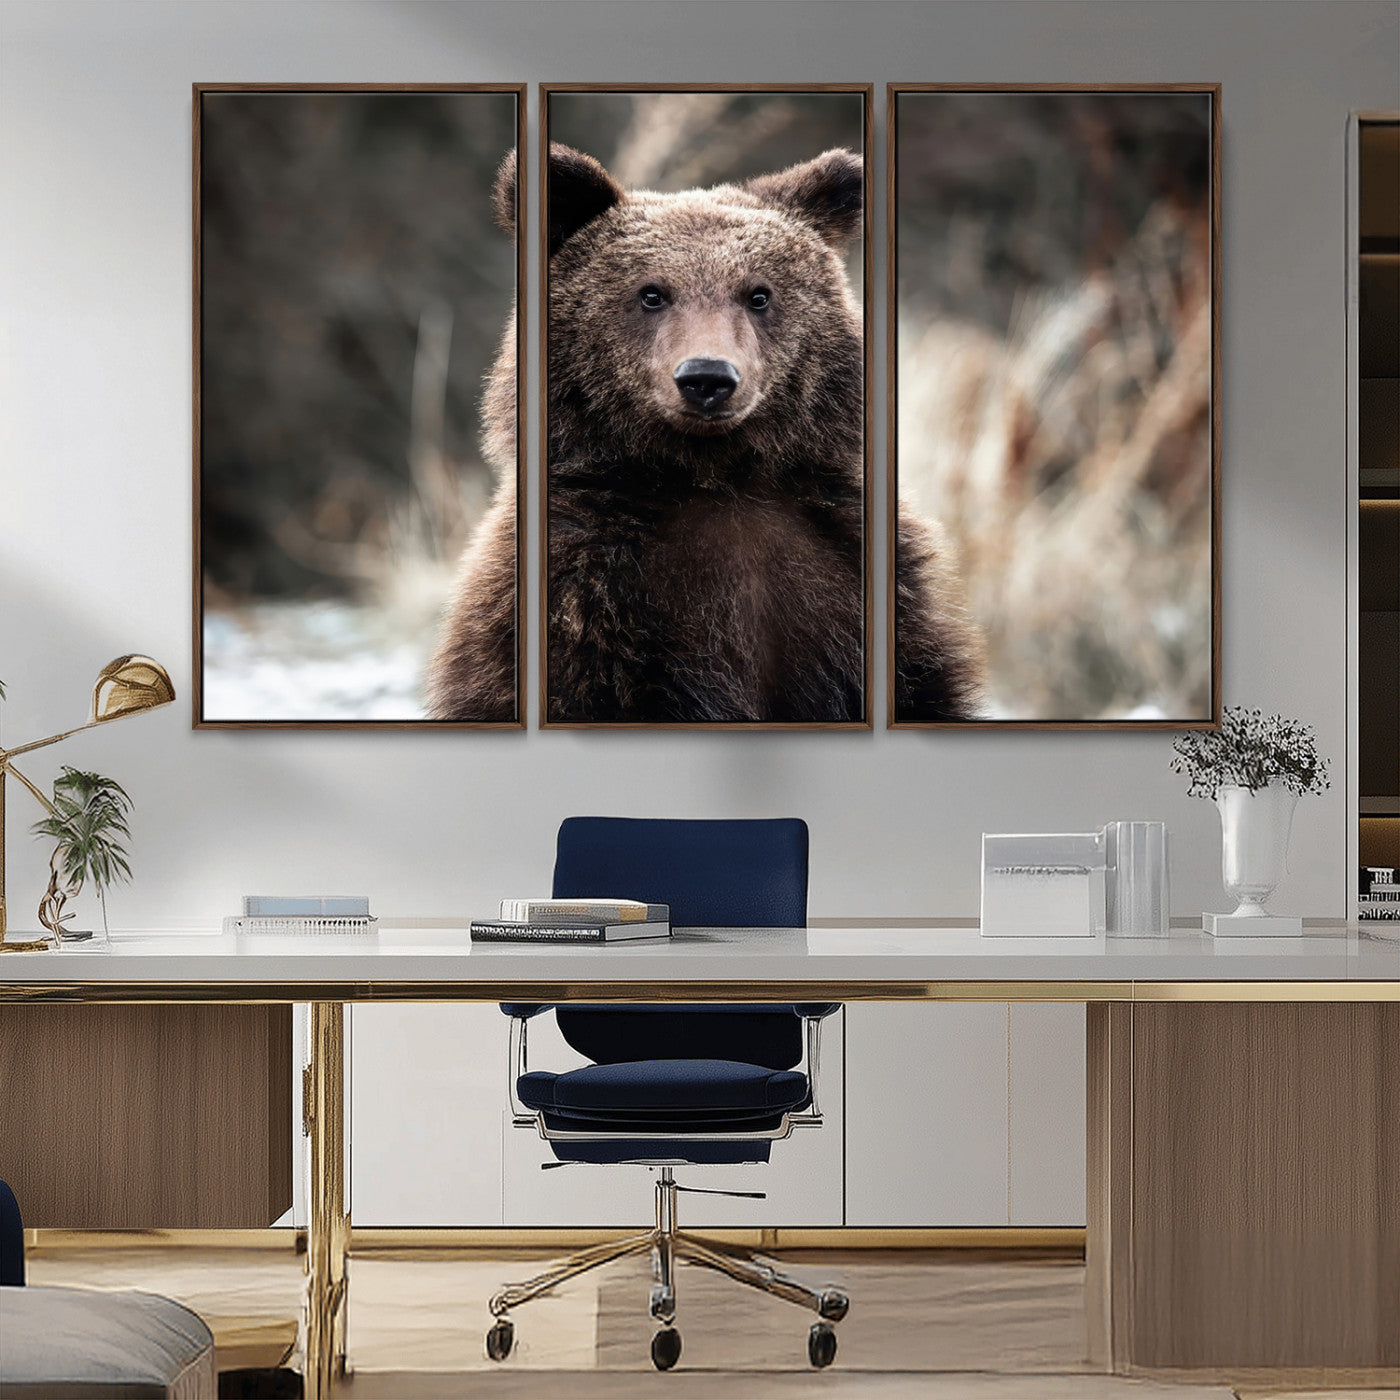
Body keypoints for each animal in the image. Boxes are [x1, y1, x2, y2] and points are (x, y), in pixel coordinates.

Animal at [427, 142, 983, 724]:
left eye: (758, 294)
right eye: (652, 293)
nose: (707, 378)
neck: (714, 475)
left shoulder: (852, 574)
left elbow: (922, 683)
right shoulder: (584, 596)